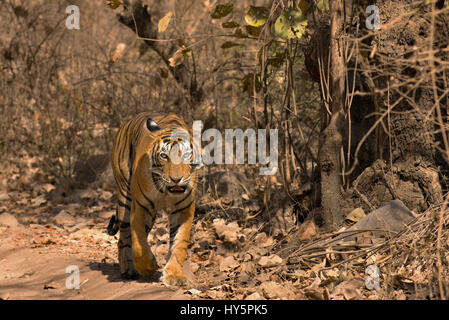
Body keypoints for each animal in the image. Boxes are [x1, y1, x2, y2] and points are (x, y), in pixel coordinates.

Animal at [106, 112, 200, 284]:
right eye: (164, 156)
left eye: (186, 155)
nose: (176, 179)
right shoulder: (141, 207)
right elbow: (138, 243)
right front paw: (148, 267)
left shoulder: (184, 209)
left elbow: (179, 243)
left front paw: (174, 275)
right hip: (125, 199)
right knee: (124, 237)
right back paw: (128, 269)